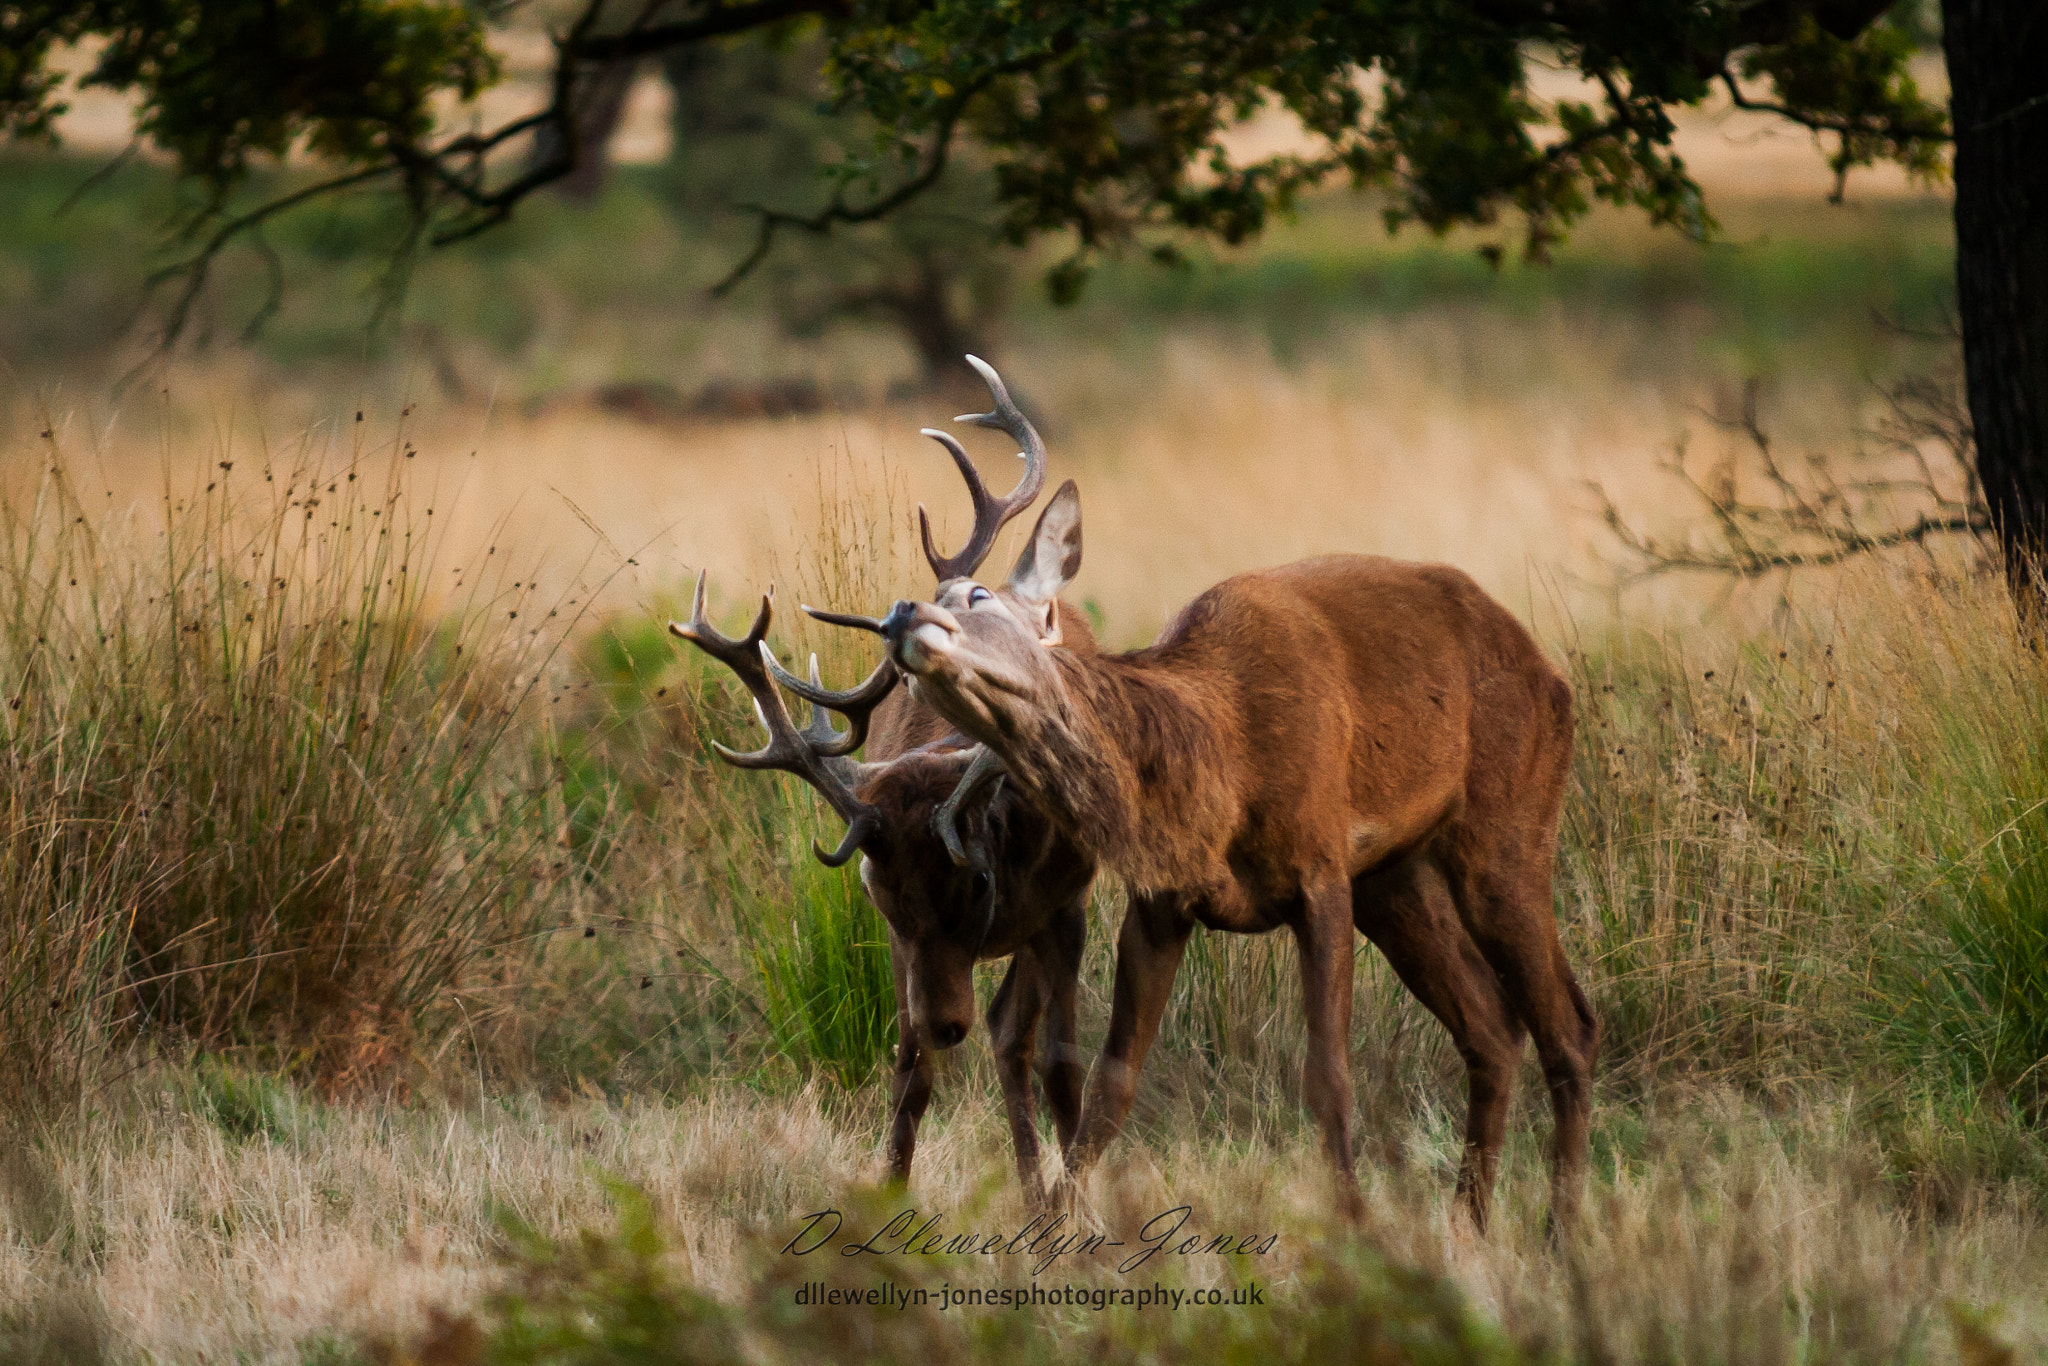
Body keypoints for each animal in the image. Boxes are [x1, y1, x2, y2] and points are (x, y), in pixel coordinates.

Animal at [671, 360, 1097, 1204]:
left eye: (973, 882)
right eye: (878, 893)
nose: (942, 1024)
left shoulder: (1063, 907)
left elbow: (1064, 1071)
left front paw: (1083, 1205)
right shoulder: (904, 954)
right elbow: (908, 1077)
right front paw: (891, 1198)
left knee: (1015, 1036)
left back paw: (1047, 1197)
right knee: (1000, 1033)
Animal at [802, 378, 1597, 1220]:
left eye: (977, 591)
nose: (899, 615)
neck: (1216, 764)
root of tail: (1548, 669)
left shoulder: (1320, 870)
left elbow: (1328, 1075)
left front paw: (1353, 1222)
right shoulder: (1161, 902)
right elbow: (1112, 1083)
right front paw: (1064, 1224)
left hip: (1508, 827)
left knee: (1569, 1025)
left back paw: (1560, 1230)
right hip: (1397, 877)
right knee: (1493, 1027)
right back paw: (1469, 1223)